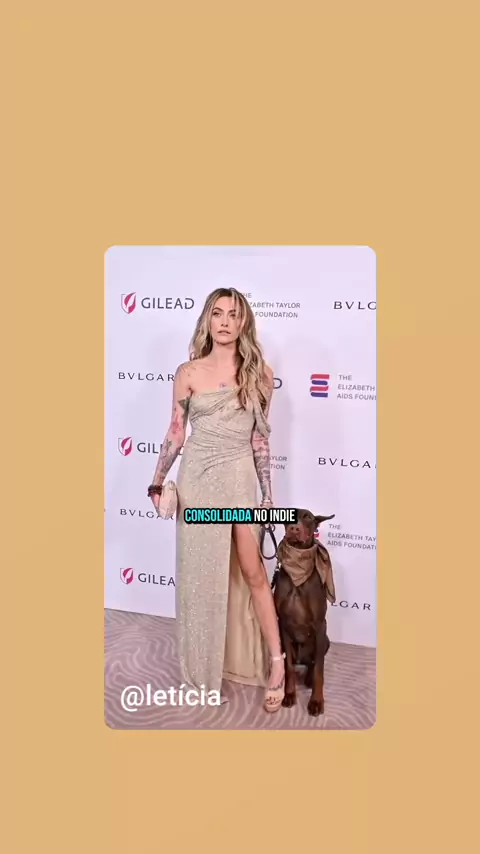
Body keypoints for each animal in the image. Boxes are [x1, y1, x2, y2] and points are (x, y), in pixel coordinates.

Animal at [271, 509, 336, 716]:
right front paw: (289, 695)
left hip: (325, 641)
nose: (294, 528)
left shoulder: (320, 624)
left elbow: (319, 670)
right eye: (287, 516)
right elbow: (289, 668)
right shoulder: (282, 623)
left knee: (314, 664)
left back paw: (308, 678)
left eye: (307, 517)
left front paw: (316, 701)